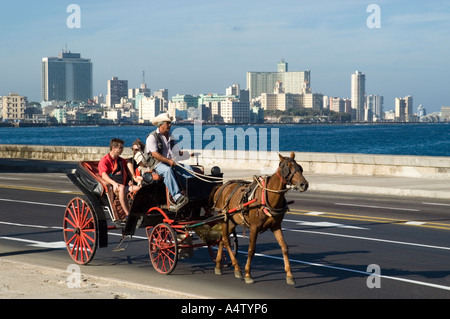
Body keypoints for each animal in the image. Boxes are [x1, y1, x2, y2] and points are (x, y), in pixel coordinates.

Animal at [209, 151, 308, 286]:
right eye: (287, 168)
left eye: (299, 167)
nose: (304, 184)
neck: (267, 197)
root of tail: (221, 186)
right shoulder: (254, 227)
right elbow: (251, 250)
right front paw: (248, 274)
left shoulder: (276, 226)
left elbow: (284, 247)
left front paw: (289, 275)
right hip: (224, 218)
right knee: (226, 241)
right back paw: (237, 268)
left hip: (232, 221)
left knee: (222, 239)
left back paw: (219, 265)